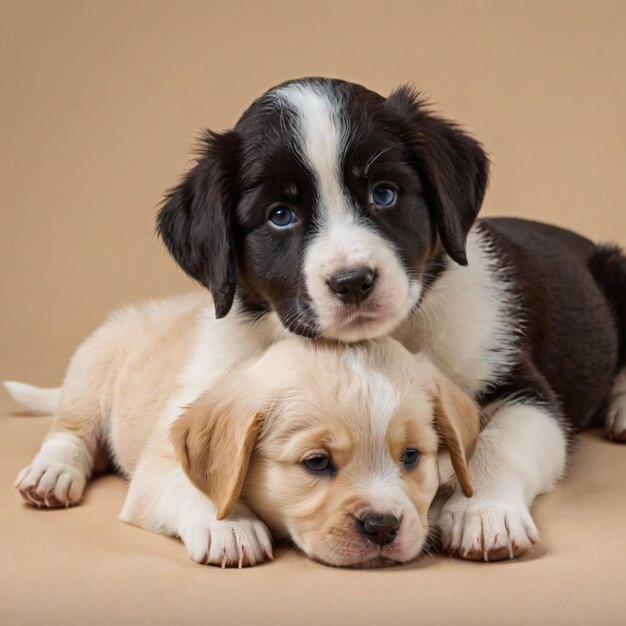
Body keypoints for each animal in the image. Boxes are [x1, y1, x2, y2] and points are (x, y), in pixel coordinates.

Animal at [7, 292, 476, 564]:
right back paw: (51, 473)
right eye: (317, 463)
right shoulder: (155, 470)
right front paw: (229, 527)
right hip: (93, 367)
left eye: (411, 457)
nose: (382, 526)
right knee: (70, 431)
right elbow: (194, 487)